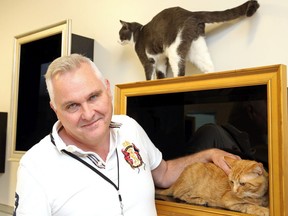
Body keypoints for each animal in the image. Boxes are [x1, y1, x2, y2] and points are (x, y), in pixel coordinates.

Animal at [119, 0, 260, 80]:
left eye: (120, 34)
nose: (118, 41)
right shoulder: (160, 60)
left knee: (180, 70)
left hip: (174, 48)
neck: (138, 33)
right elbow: (160, 74)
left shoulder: (147, 59)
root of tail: (190, 13)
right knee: (209, 65)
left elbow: (149, 75)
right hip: (197, 46)